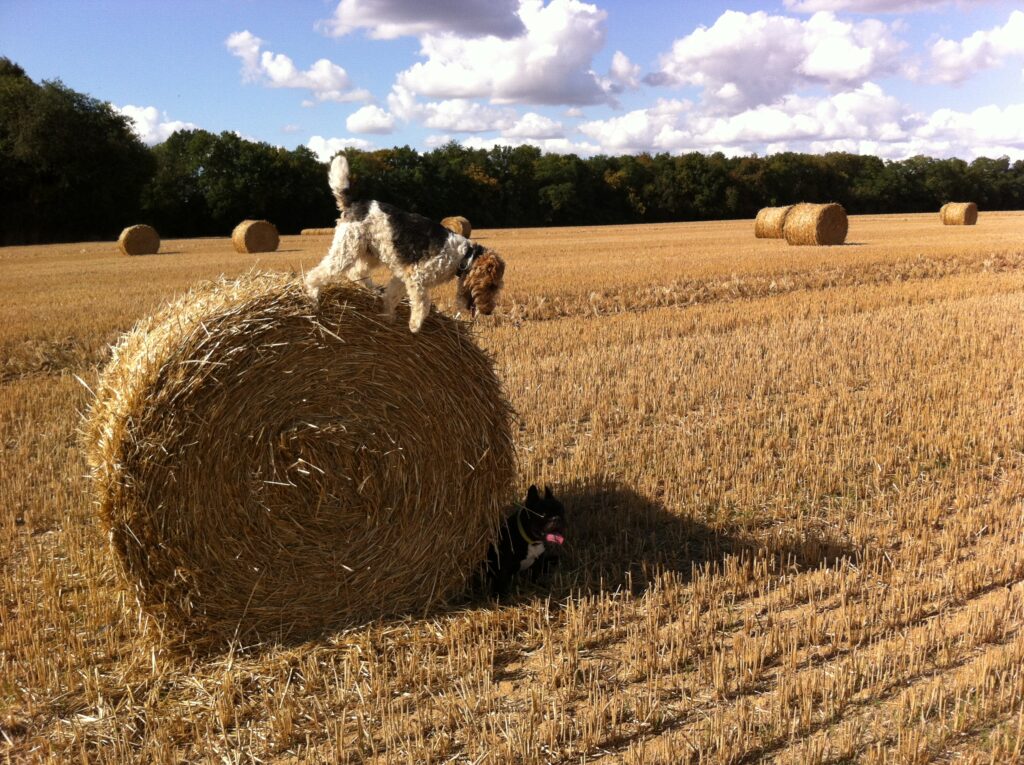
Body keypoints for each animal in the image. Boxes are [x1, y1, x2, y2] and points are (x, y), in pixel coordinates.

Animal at [307, 155, 507, 331]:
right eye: (491, 285)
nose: (488, 312)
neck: (462, 256)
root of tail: (353, 203)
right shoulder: (417, 277)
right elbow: (423, 305)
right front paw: (414, 326)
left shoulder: (403, 277)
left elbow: (391, 296)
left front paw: (388, 317)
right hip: (347, 249)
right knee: (316, 274)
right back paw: (313, 297)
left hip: (370, 253)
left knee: (356, 272)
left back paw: (373, 290)